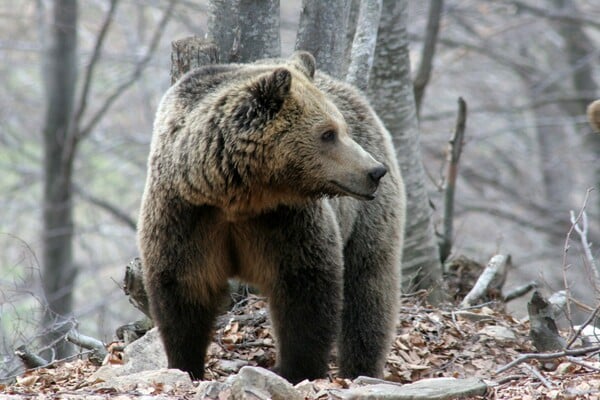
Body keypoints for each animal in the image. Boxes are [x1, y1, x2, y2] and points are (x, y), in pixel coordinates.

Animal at [138, 51, 406, 382]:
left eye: (340, 128)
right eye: (328, 133)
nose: (374, 171)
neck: (237, 195)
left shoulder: (285, 222)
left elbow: (305, 293)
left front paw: (296, 369)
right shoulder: (187, 216)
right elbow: (183, 290)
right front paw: (186, 364)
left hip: (366, 219)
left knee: (369, 288)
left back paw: (361, 367)